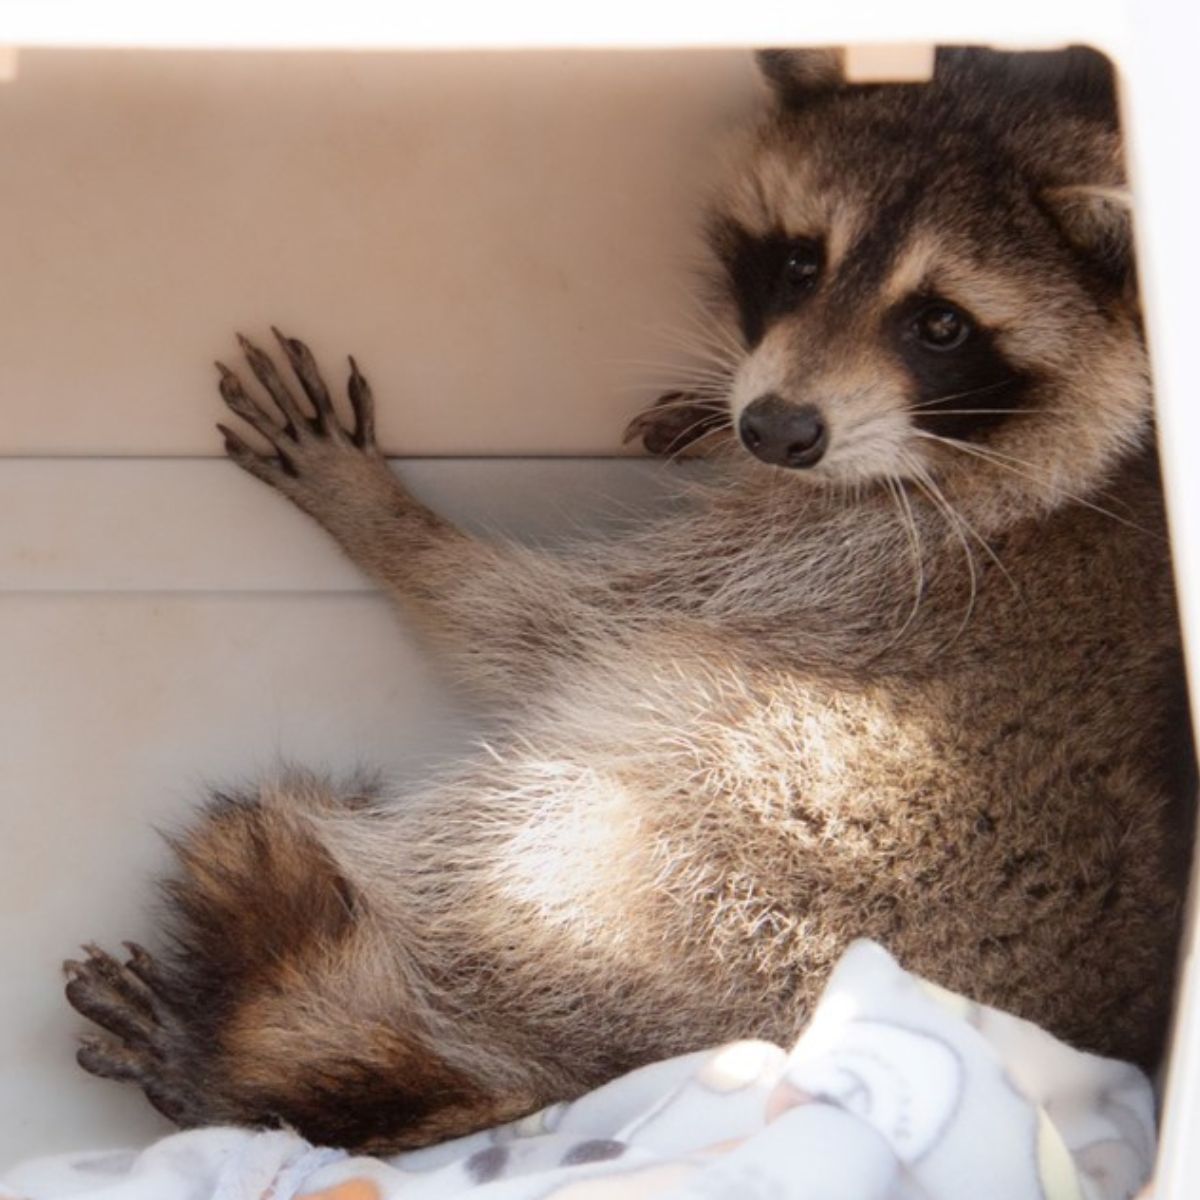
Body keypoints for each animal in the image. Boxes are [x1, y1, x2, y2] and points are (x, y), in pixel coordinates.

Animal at [65, 47, 1194, 1153]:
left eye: (942, 325)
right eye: (799, 263)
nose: (773, 430)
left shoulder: (847, 561)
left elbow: (535, 624)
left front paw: (385, 517)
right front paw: (700, 409)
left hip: (666, 867)